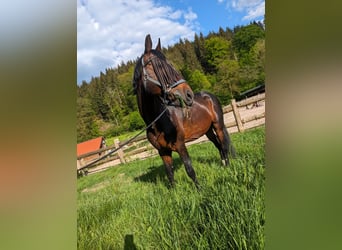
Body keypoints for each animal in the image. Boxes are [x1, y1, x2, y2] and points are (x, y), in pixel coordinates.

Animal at [132, 34, 234, 188]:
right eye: (160, 66)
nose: (188, 94)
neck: (157, 122)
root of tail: (209, 96)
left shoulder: (180, 146)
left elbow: (189, 169)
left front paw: (200, 190)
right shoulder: (163, 152)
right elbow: (170, 174)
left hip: (218, 126)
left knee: (224, 146)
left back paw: (227, 167)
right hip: (208, 130)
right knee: (218, 146)